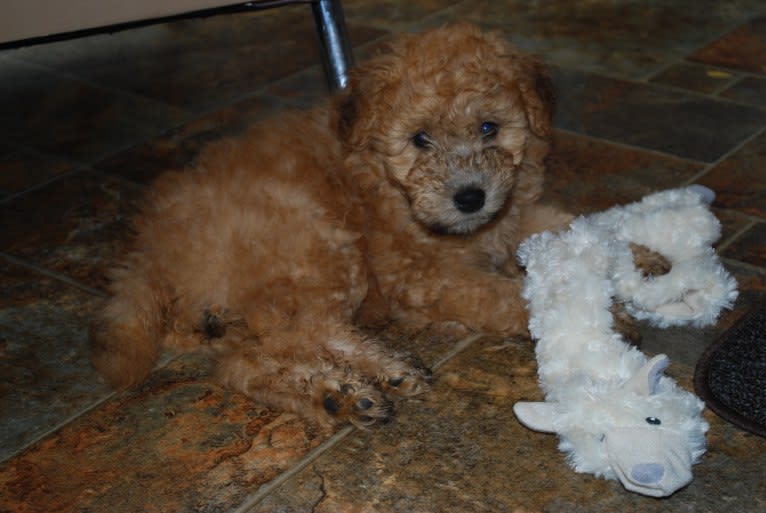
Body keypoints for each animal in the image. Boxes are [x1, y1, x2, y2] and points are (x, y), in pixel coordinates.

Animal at [91, 22, 576, 426]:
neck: (382, 180)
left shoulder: (514, 215)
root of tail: (148, 255)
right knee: (301, 333)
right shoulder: (425, 274)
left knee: (243, 365)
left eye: (489, 127)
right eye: (419, 139)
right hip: (317, 246)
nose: (471, 197)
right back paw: (370, 377)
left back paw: (340, 395)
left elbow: (558, 225)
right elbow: (504, 296)